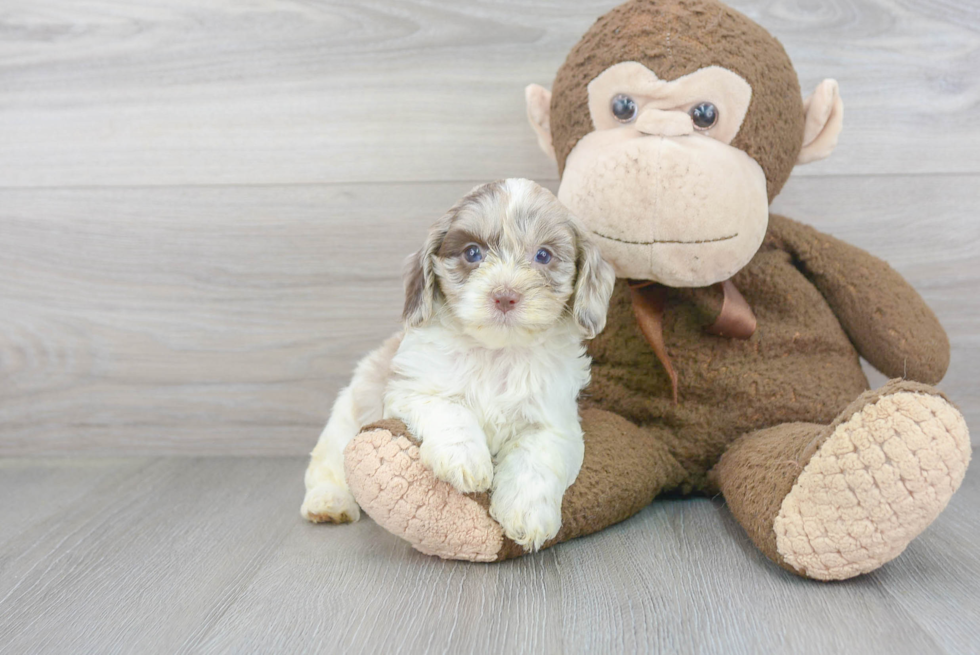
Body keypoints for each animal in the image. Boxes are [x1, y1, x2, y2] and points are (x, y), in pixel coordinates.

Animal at [302, 177, 616, 552]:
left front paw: (526, 515)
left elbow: (536, 457)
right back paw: (328, 502)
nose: (505, 295)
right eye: (472, 253)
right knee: (329, 463)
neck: (496, 352)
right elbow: (451, 413)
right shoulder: (415, 390)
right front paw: (466, 459)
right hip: (347, 414)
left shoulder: (554, 421)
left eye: (543, 255)